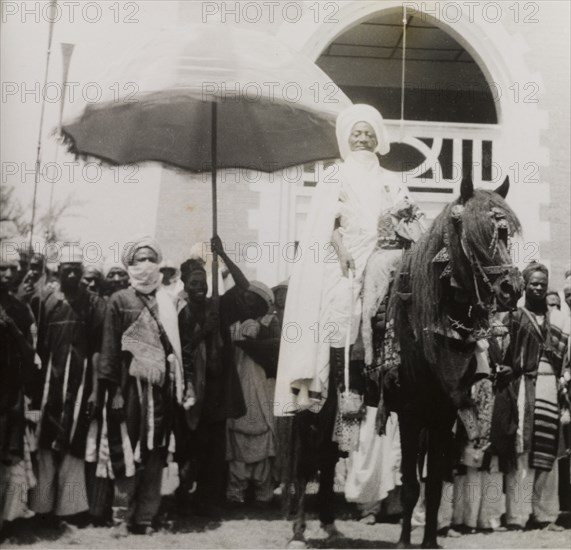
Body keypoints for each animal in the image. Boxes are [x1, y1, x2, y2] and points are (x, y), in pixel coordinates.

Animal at [286, 175, 524, 548]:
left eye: (505, 234)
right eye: (474, 233)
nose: (511, 288)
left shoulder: (443, 414)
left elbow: (435, 486)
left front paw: (429, 541)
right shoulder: (412, 413)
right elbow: (412, 485)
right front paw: (403, 541)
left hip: (338, 404)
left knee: (326, 455)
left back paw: (329, 525)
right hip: (315, 400)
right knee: (305, 460)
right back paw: (298, 531)